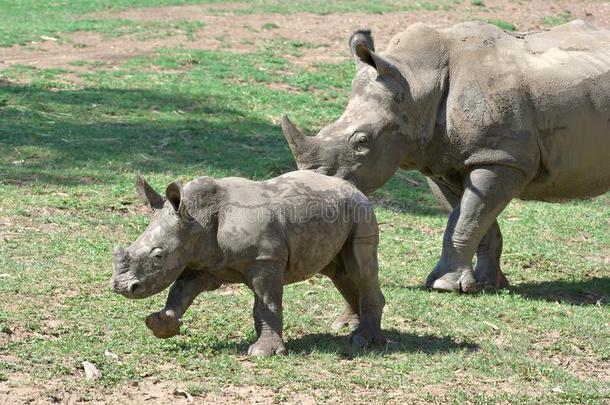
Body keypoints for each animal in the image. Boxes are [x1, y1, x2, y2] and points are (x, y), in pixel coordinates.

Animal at [111, 170, 382, 354]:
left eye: (158, 255)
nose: (122, 287)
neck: (197, 219)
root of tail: (353, 187)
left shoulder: (265, 259)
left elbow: (266, 304)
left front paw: (263, 352)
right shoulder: (204, 262)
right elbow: (180, 292)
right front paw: (160, 324)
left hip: (361, 210)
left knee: (360, 269)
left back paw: (362, 340)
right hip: (336, 212)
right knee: (339, 273)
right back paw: (345, 326)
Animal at [282, 20, 608, 292]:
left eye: (362, 141)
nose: (314, 195)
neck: (416, 83)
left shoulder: (501, 157)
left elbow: (466, 218)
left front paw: (444, 286)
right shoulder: (441, 160)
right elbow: (472, 217)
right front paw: (486, 284)